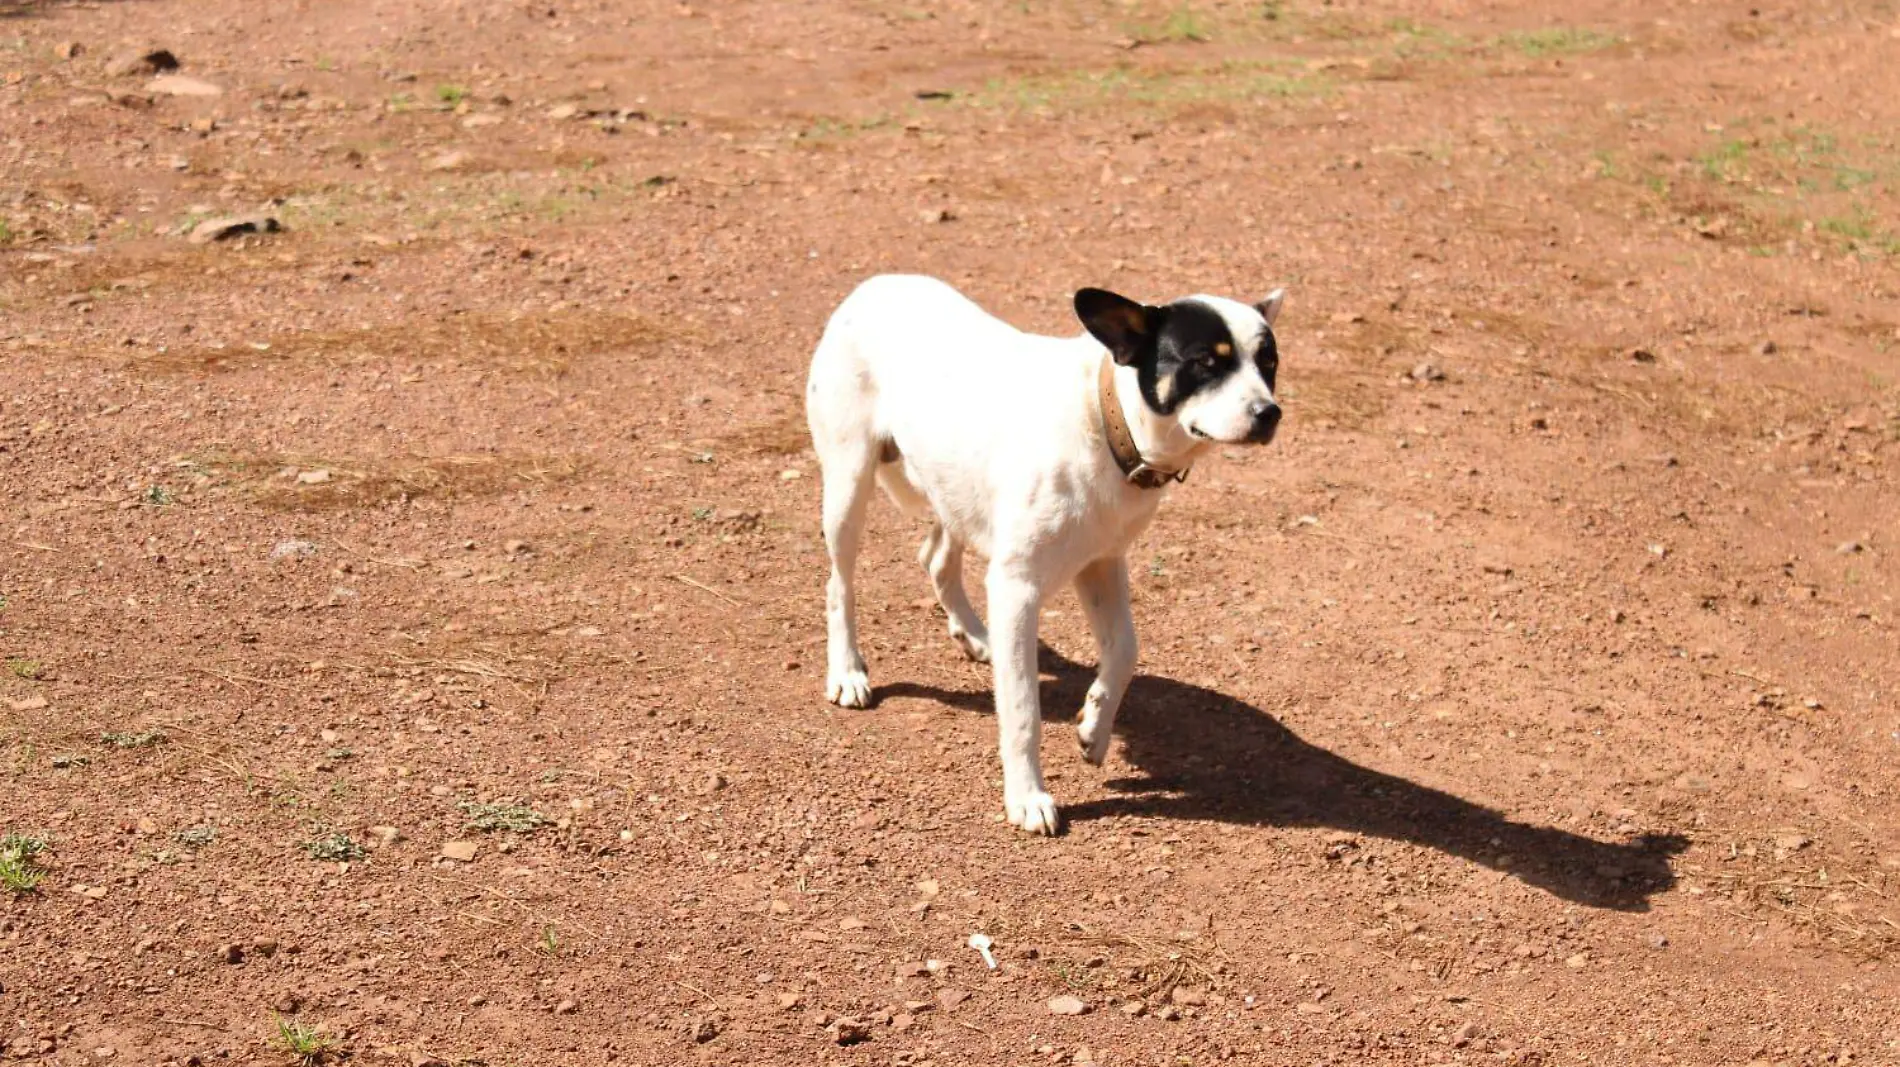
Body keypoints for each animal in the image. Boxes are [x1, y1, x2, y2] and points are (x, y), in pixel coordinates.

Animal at [809, 273, 1284, 831]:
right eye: (1205, 362)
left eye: (1269, 362)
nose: (1269, 413)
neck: (1105, 420)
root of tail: (874, 284)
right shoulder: (1018, 588)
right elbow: (1021, 709)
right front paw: (1027, 796)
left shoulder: (1101, 563)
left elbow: (1125, 650)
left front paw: (1095, 727)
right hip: (849, 483)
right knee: (839, 585)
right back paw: (847, 672)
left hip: (955, 492)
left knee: (935, 556)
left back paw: (976, 634)